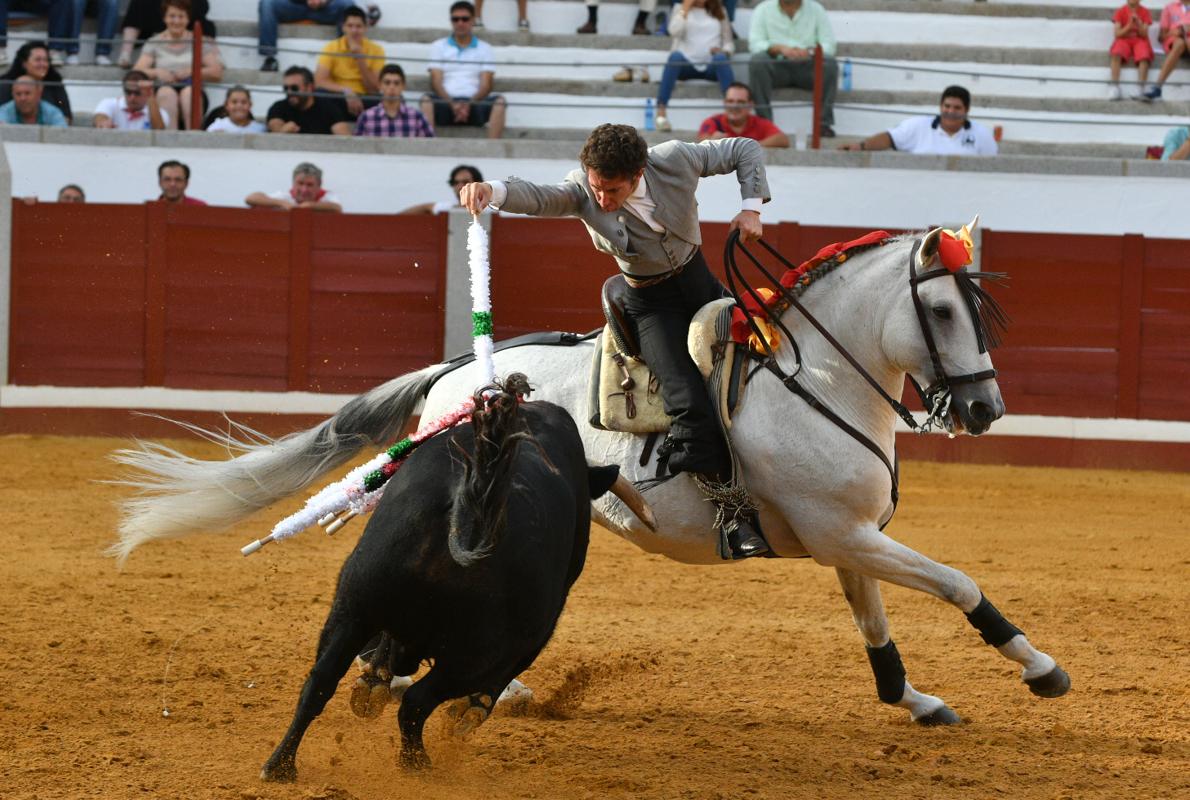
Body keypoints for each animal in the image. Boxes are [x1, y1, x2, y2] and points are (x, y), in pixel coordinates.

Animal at [116, 223, 1075, 723]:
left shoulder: (848, 537)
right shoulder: (848, 534)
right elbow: (956, 583)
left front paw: (912, 699)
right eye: (943, 309)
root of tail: (456, 375)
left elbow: (875, 620)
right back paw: (469, 685)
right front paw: (1039, 667)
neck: (821, 378)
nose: (984, 409)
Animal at [261, 390, 652, 776]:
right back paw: (418, 763)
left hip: (352, 607)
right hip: (478, 650)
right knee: (418, 701)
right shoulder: (532, 634)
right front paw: (471, 710)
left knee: (319, 683)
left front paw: (373, 682)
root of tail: (468, 508)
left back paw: (280, 765)